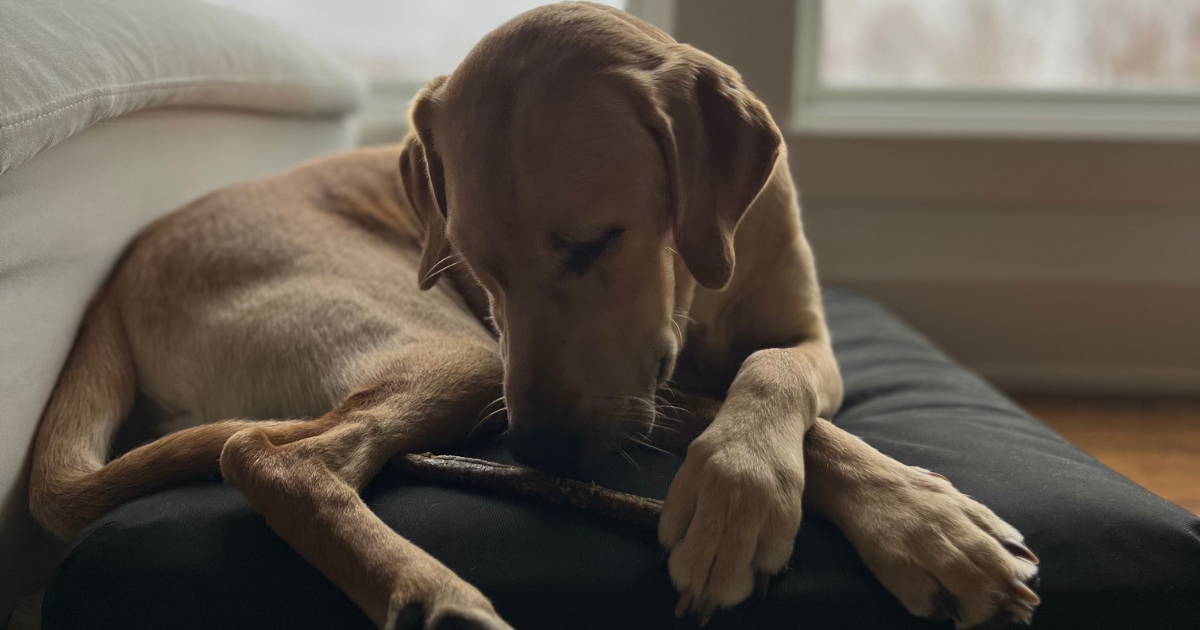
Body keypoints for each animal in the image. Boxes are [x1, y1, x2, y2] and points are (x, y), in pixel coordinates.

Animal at [28, 4, 1041, 628]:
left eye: (595, 243)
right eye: (475, 267)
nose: (541, 452)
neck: (697, 291)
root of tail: (116, 280)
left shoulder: (808, 339)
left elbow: (772, 370)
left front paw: (771, 483)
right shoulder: (622, 385)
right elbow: (780, 422)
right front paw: (903, 519)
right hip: (456, 355)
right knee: (269, 456)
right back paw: (432, 592)